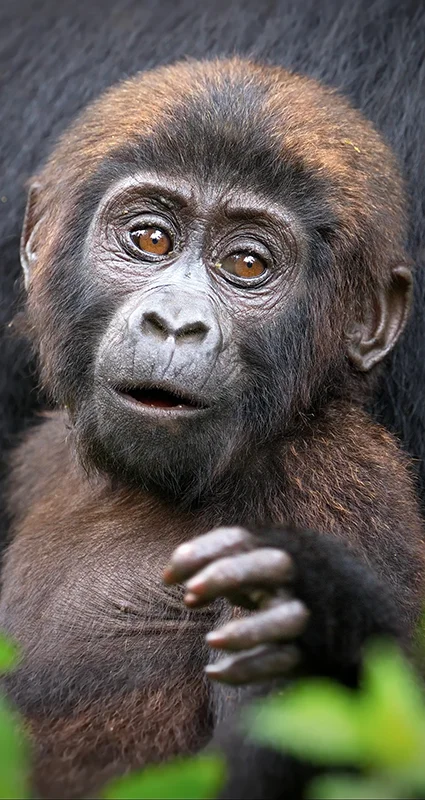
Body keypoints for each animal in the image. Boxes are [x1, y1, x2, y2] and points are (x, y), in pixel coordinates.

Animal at [0, 57, 424, 799]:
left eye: (247, 264)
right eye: (151, 239)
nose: (175, 323)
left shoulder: (338, 489)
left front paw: (318, 626)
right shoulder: (41, 454)